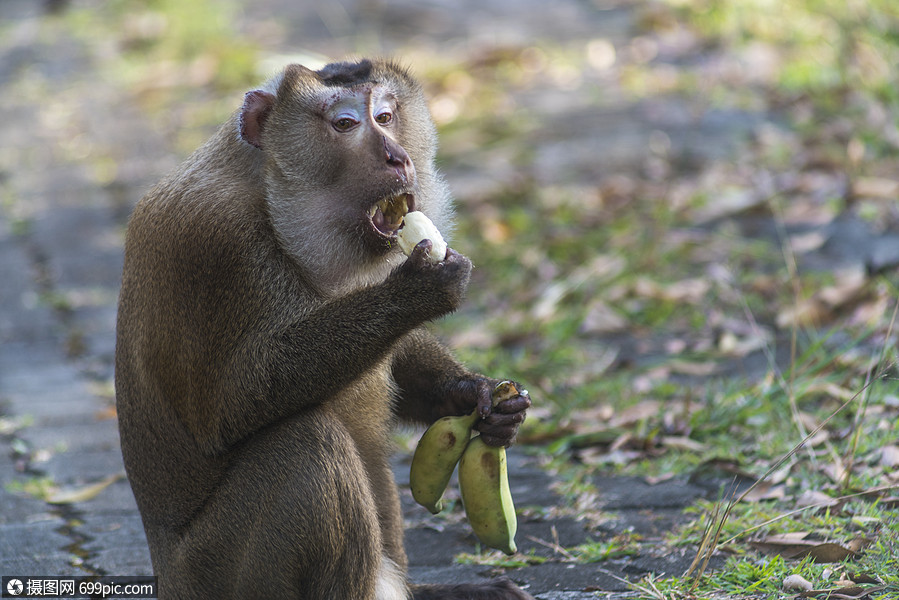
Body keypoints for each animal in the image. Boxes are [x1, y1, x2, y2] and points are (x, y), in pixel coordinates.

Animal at [112, 57, 536, 600]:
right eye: (345, 124)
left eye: (386, 115)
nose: (398, 158)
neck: (265, 190)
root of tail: (166, 579)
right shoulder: (218, 248)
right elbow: (232, 403)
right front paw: (418, 292)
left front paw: (478, 396)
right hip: (214, 575)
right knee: (306, 446)